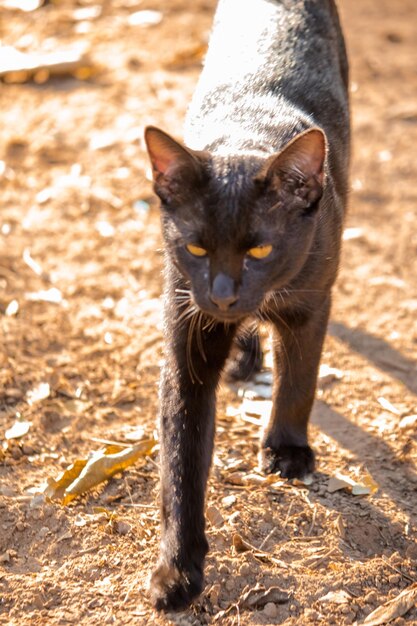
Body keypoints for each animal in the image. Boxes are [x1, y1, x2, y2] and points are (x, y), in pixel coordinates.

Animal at [143, 0, 348, 608]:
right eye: (195, 247)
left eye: (259, 248)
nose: (223, 294)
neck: (249, 129)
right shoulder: (186, 343)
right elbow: (182, 463)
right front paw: (178, 570)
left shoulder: (310, 304)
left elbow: (299, 381)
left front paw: (286, 451)